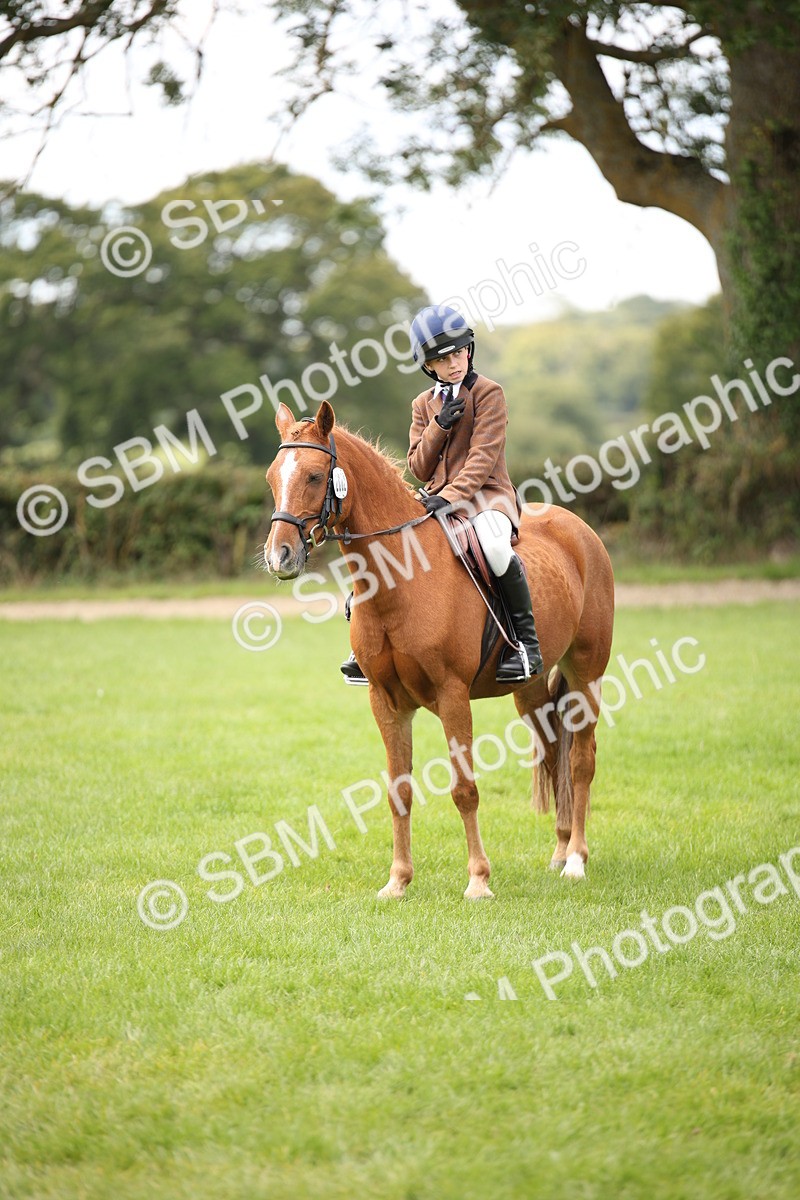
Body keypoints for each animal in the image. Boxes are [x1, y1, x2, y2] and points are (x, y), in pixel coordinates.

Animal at [264, 399, 615, 899]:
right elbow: (399, 790)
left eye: (314, 476)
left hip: (587, 672)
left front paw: (478, 880)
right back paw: (561, 850)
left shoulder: (452, 696)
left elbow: (464, 789)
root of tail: (579, 530)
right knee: (552, 754)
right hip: (529, 689)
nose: (280, 557)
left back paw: (577, 861)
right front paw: (397, 880)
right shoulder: (386, 701)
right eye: (272, 477)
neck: (400, 578)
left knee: (581, 761)